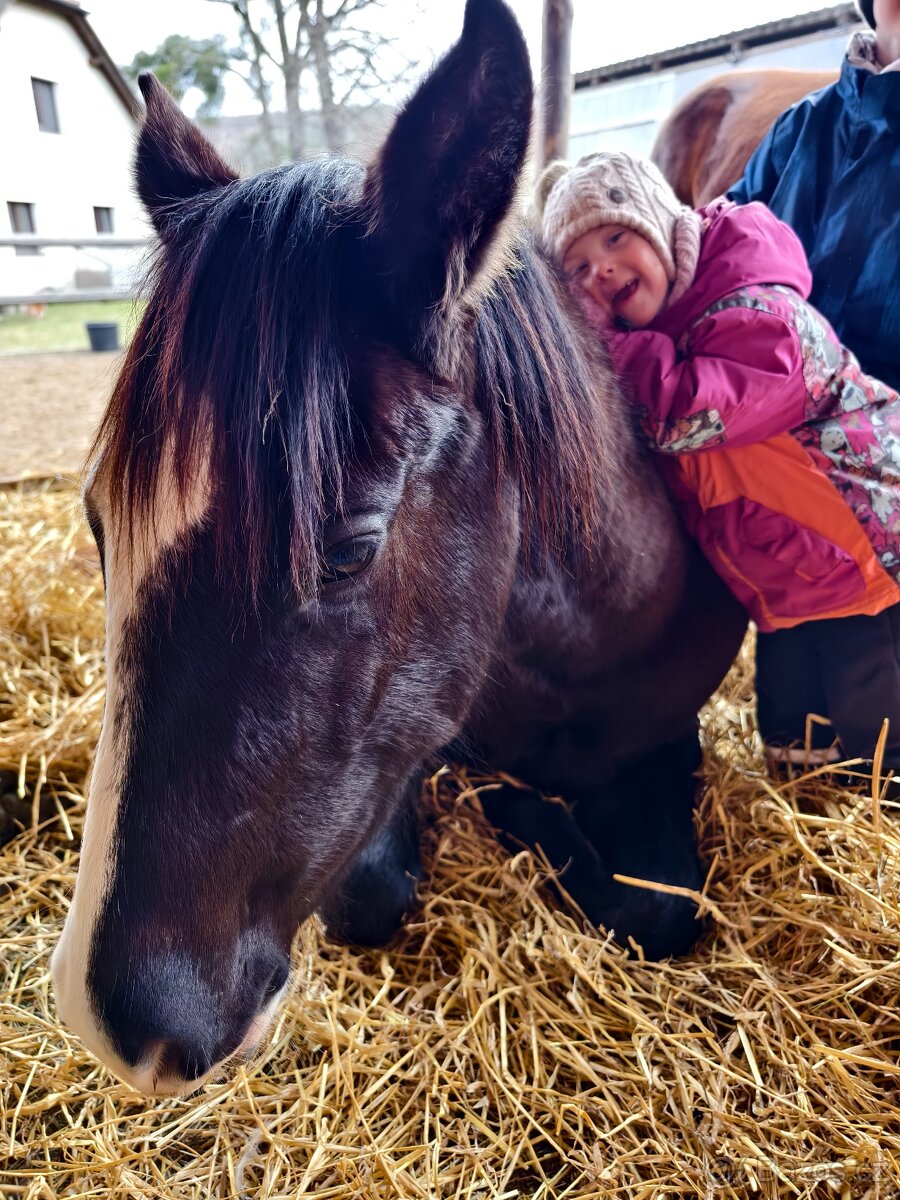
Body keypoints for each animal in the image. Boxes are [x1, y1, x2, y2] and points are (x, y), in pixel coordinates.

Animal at [50, 0, 745, 1096]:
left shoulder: (668, 743)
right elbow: (369, 891)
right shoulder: (398, 756)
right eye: (99, 526)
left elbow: (656, 909)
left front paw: (529, 821)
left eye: (344, 550)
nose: (118, 1023)